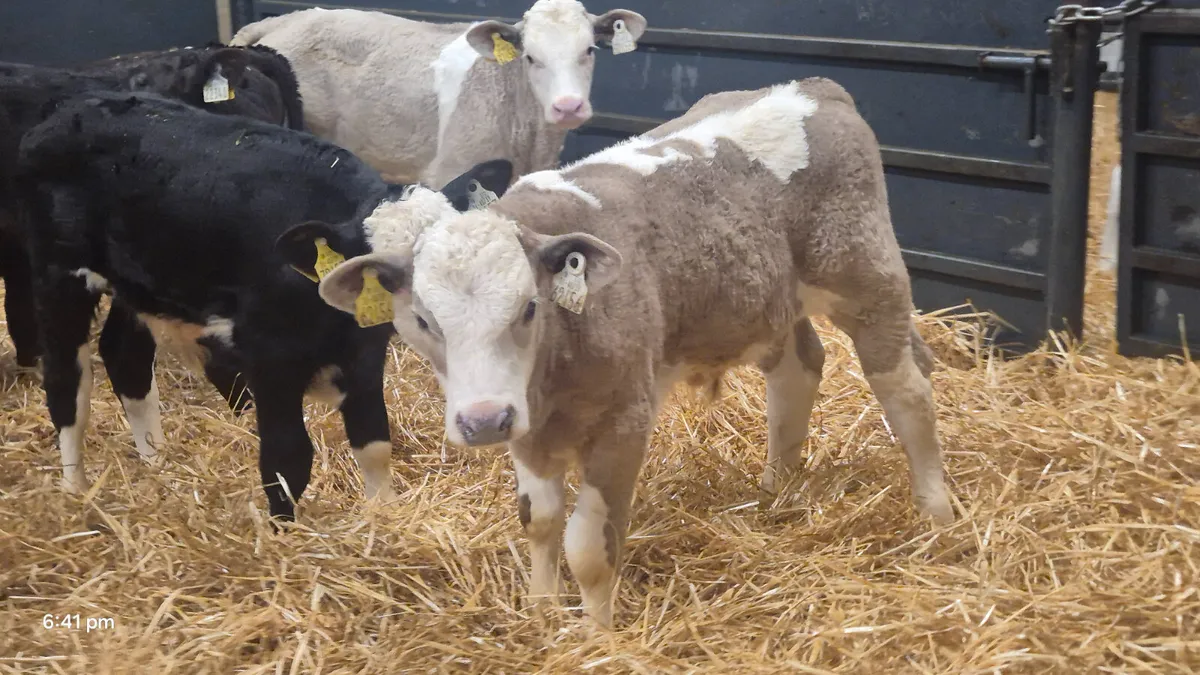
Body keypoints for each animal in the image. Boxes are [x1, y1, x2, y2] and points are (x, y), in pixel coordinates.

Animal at [15, 89, 513, 520]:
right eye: (384, 275)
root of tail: (72, 108)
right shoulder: (270, 358)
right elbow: (286, 457)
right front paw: (283, 535)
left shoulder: (364, 356)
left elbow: (373, 443)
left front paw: (384, 516)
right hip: (59, 276)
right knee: (67, 381)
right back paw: (76, 490)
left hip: (137, 286)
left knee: (126, 359)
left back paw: (157, 462)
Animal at [315, 78, 956, 626]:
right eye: (423, 321)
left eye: (529, 308)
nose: (483, 421)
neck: (555, 370)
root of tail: (813, 88)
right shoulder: (526, 425)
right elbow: (538, 521)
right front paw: (541, 613)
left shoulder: (624, 421)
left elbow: (588, 548)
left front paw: (597, 637)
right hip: (774, 301)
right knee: (798, 372)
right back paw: (776, 491)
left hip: (866, 278)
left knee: (907, 391)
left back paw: (936, 514)